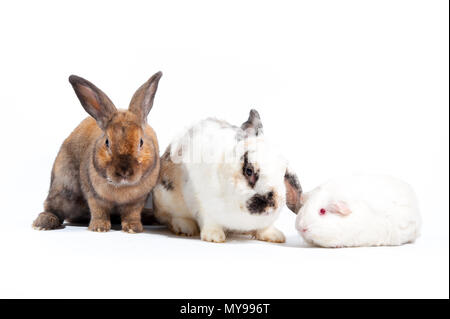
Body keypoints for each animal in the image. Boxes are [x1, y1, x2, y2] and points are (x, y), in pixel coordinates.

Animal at [33, 72, 163, 232]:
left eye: (141, 142)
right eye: (107, 142)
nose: (124, 171)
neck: (122, 187)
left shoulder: (137, 201)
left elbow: (131, 213)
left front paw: (133, 228)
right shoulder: (93, 195)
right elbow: (99, 210)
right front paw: (99, 227)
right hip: (63, 189)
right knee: (54, 208)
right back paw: (44, 222)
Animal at [152, 110, 302, 242]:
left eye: (283, 174)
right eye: (249, 170)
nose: (272, 204)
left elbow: (265, 228)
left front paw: (275, 236)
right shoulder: (202, 203)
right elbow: (209, 220)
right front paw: (214, 237)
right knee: (172, 217)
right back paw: (186, 228)